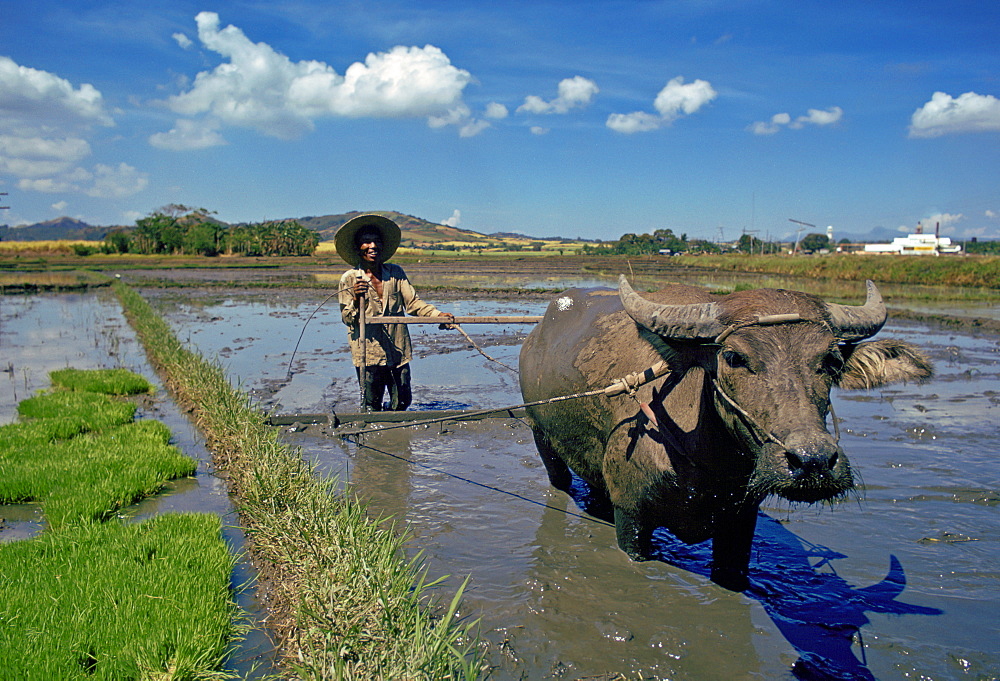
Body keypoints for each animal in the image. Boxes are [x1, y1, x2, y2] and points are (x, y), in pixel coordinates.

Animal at [520, 276, 932, 588]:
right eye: (734, 356)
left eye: (830, 360)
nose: (812, 461)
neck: (711, 464)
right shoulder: (632, 519)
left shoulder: (740, 524)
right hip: (542, 439)